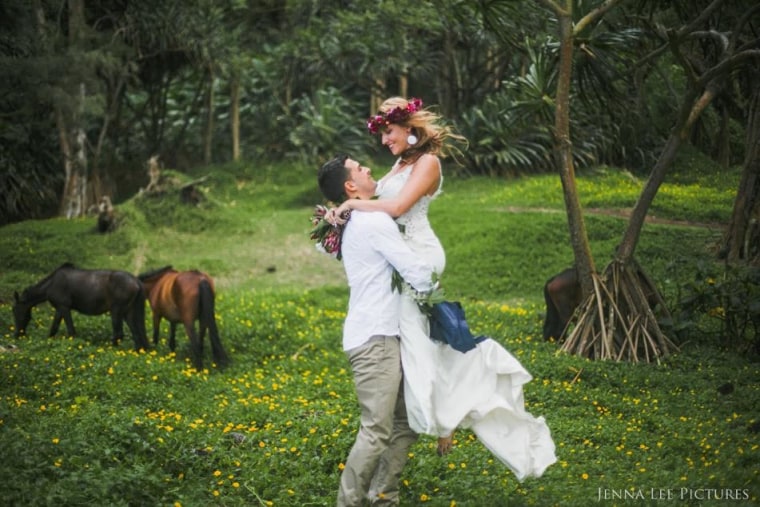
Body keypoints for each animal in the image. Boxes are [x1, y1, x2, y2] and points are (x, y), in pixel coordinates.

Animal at [13, 264, 149, 352]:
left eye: (15, 311)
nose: (18, 334)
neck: (50, 285)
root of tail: (137, 282)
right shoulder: (59, 309)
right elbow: (54, 328)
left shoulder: (64, 307)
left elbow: (70, 330)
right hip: (128, 311)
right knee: (137, 333)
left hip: (116, 310)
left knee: (119, 333)